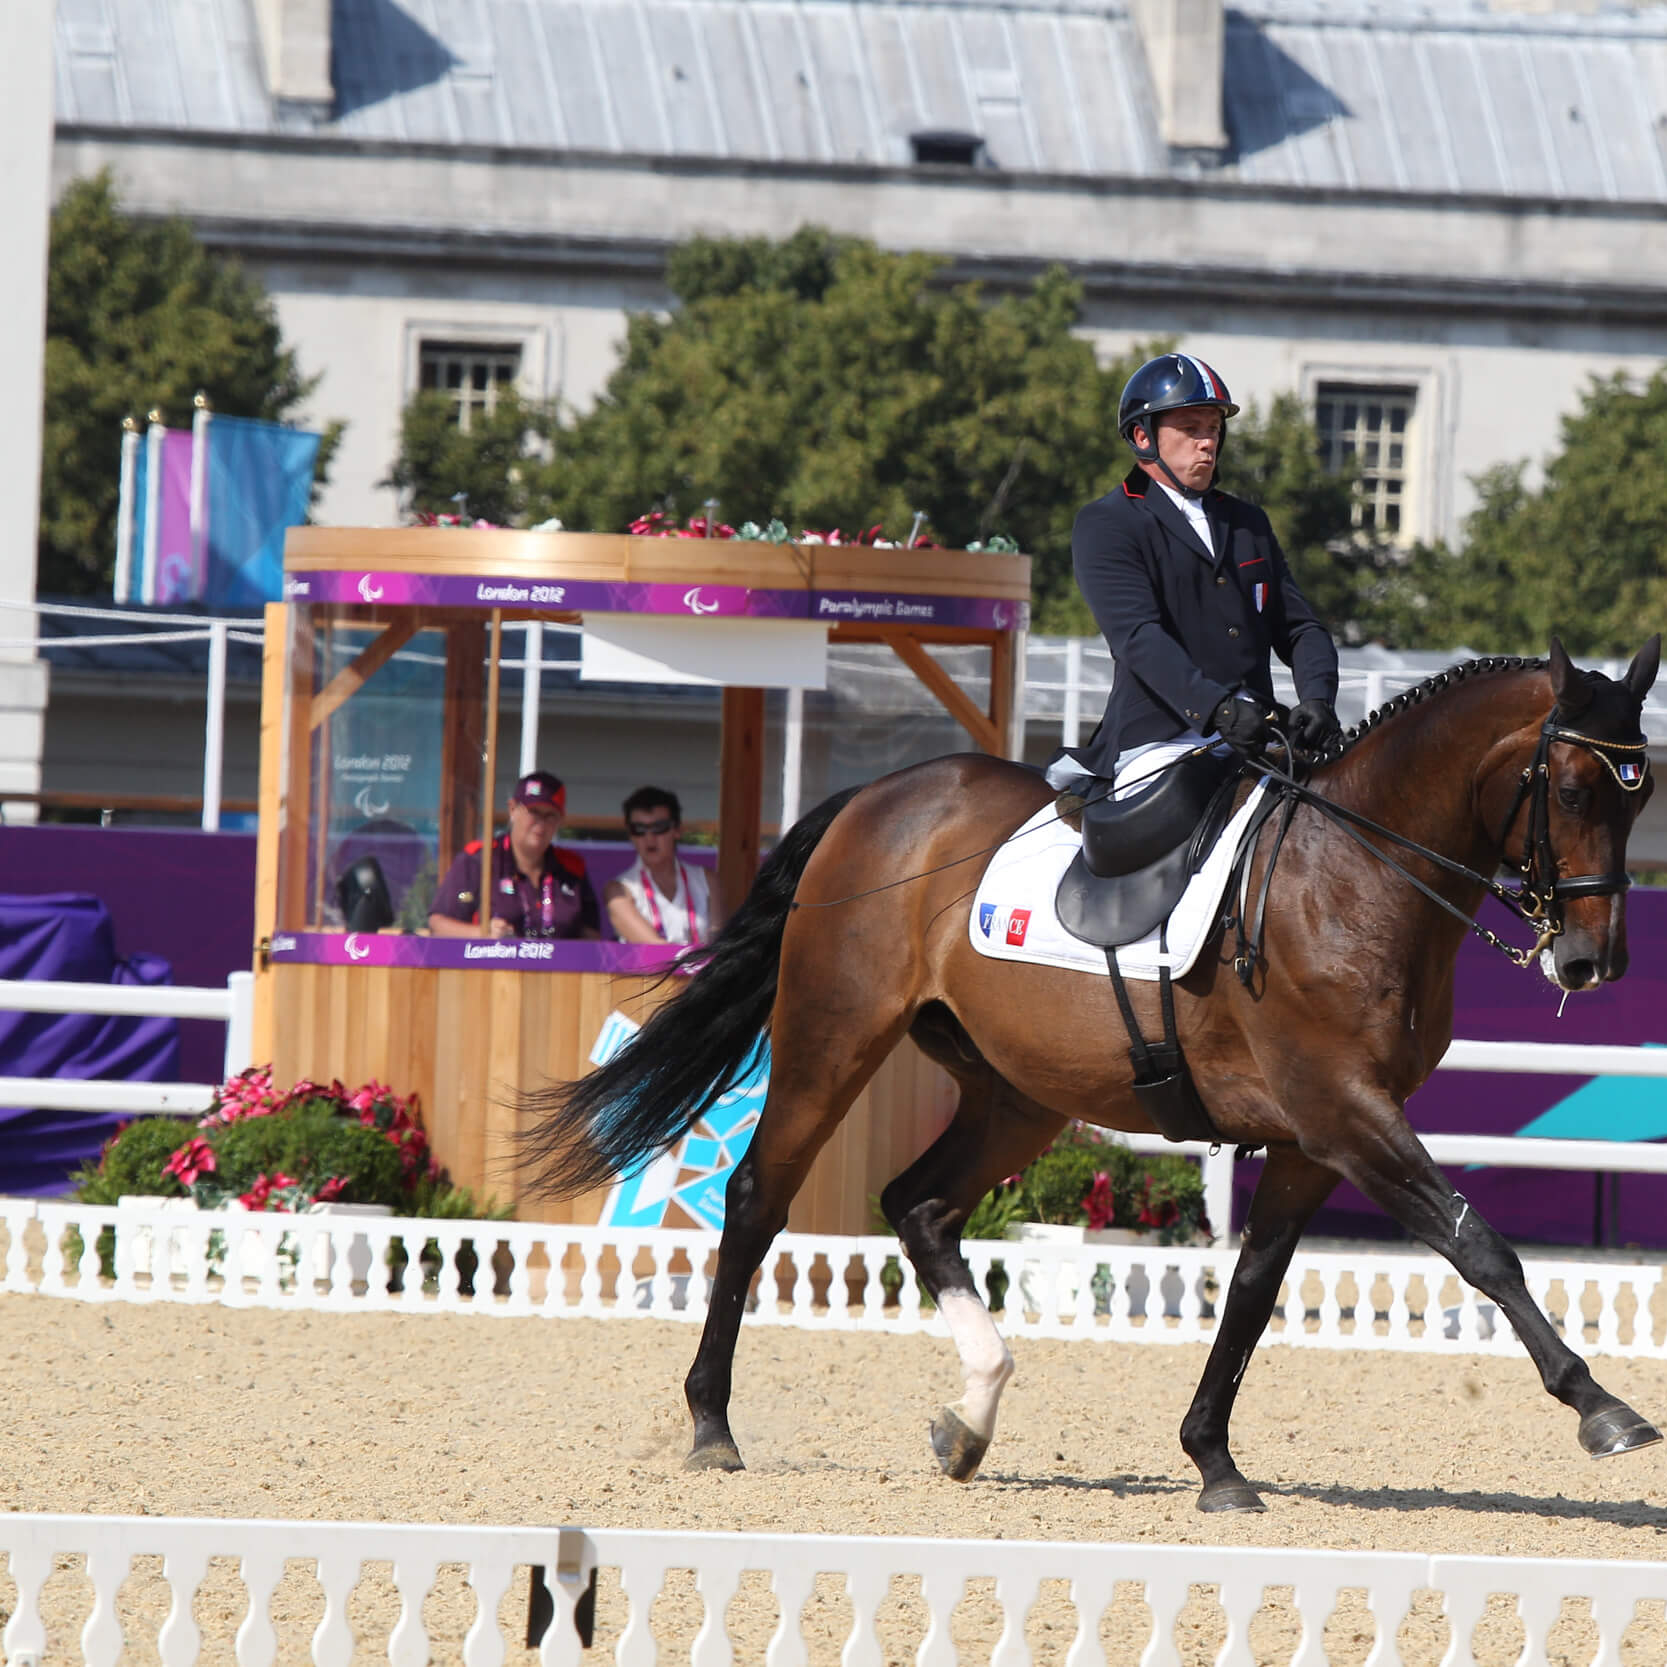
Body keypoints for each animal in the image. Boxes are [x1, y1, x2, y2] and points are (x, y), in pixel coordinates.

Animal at [520, 633, 1653, 1513]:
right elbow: (1478, 1246)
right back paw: (712, 1424)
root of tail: (876, 797)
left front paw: (1213, 1460)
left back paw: (970, 1416)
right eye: (1566, 787)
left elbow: (1252, 1288)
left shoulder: (1313, 1135)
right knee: (759, 1197)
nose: (1590, 962)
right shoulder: (1342, 1111)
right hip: (829, 1036)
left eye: (1637, 797)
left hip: (1014, 1091)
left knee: (919, 1204)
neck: (1353, 874)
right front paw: (1602, 1409)